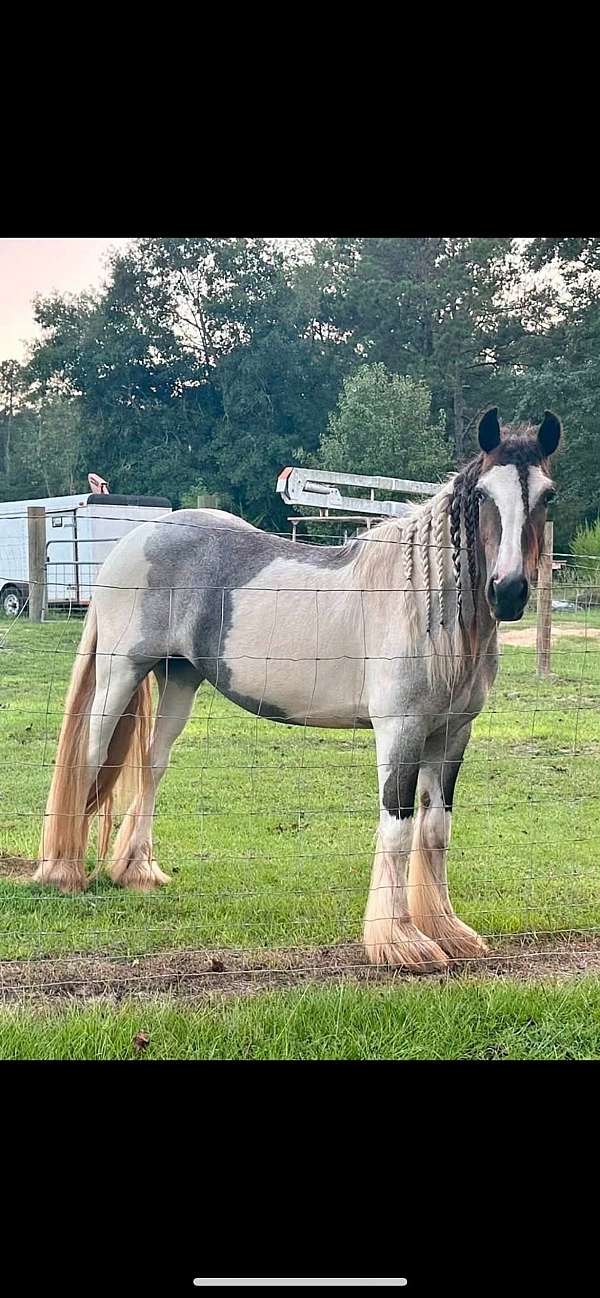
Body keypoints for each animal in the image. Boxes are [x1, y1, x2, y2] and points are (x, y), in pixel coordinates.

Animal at [34, 407, 562, 971]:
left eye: (547, 495)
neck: (424, 604)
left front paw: (447, 930)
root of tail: (134, 543)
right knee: (89, 757)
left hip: (179, 678)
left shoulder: (452, 734)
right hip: (120, 673)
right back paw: (65, 872)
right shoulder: (400, 731)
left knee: (153, 766)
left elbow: (435, 829)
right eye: (483, 495)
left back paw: (135, 871)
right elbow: (398, 826)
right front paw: (400, 941)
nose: (508, 591)